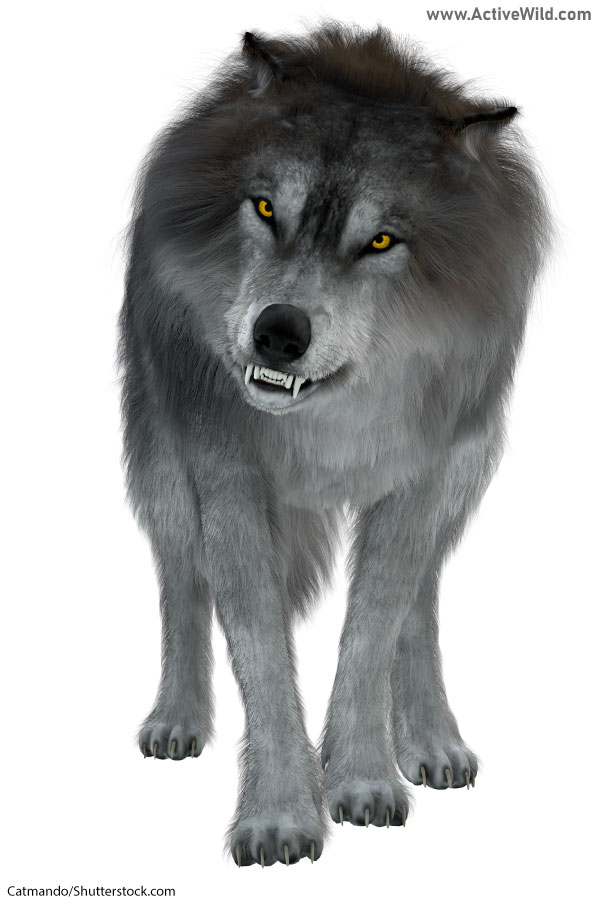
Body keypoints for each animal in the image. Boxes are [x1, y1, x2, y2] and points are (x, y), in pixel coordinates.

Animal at [118, 24, 550, 867]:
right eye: (264, 208)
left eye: (380, 240)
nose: (279, 334)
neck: (328, 423)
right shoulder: (228, 480)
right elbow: (258, 651)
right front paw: (281, 815)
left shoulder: (418, 481)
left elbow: (373, 630)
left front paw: (363, 779)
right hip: (162, 469)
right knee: (180, 585)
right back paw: (177, 720)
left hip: (463, 476)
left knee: (422, 599)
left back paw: (432, 740)